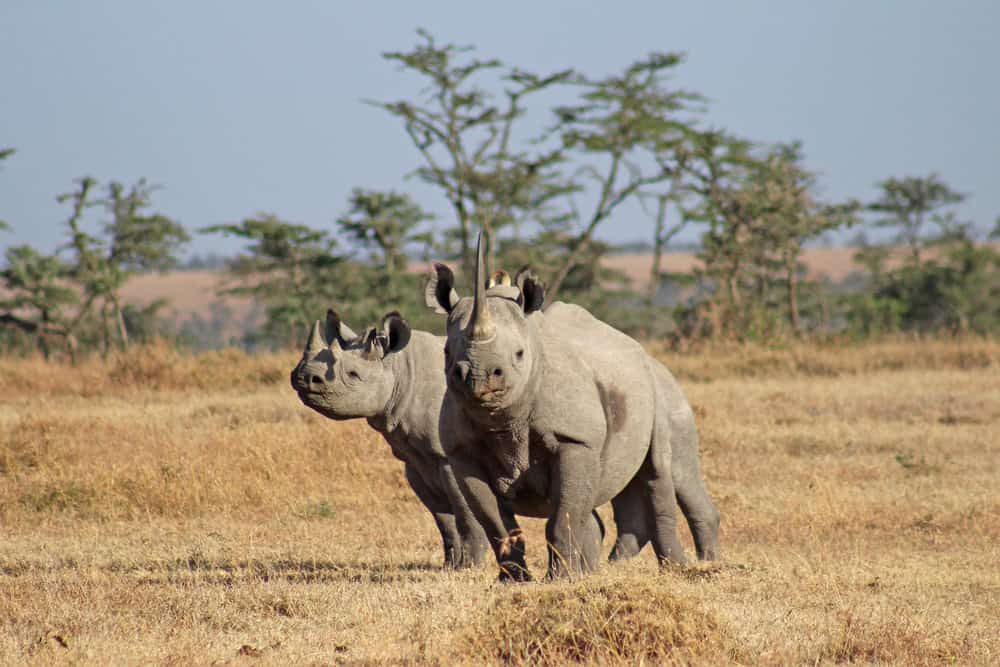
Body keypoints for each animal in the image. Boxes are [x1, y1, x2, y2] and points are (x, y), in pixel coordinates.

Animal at [428, 233, 720, 580]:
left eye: (519, 354)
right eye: (446, 352)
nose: (477, 376)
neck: (502, 419)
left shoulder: (574, 440)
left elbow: (562, 515)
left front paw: (560, 580)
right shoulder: (462, 453)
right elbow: (496, 523)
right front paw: (514, 581)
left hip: (660, 390)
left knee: (660, 472)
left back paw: (680, 568)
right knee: (591, 501)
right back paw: (591, 572)